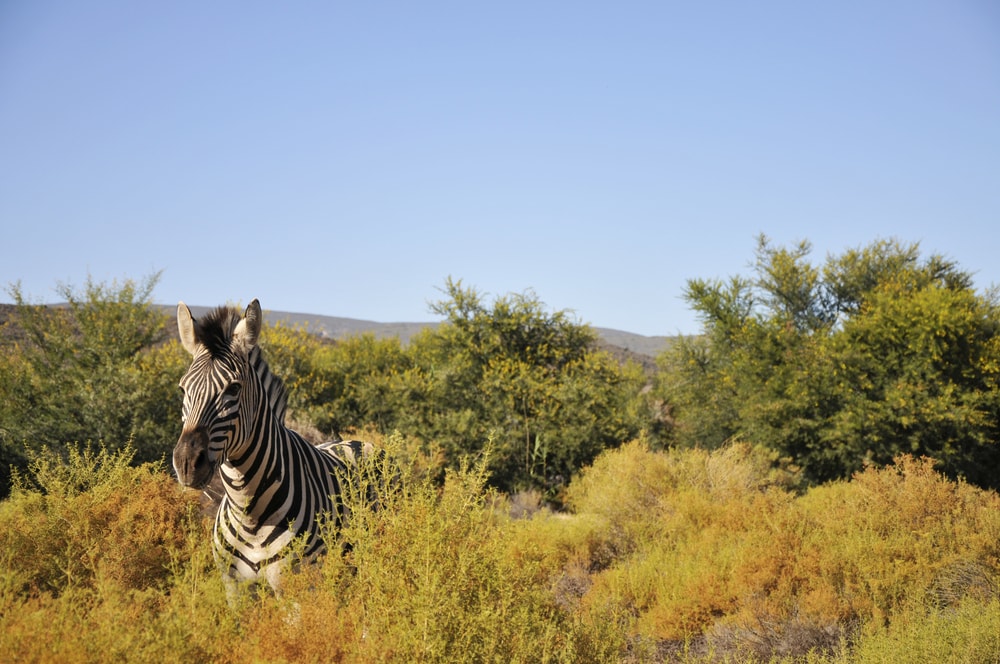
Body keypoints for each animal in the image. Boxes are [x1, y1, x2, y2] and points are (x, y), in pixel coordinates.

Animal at [171, 299, 383, 597]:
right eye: (182, 389)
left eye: (233, 389)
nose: (187, 463)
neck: (248, 512)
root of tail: (356, 441)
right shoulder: (233, 588)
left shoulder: (296, 589)